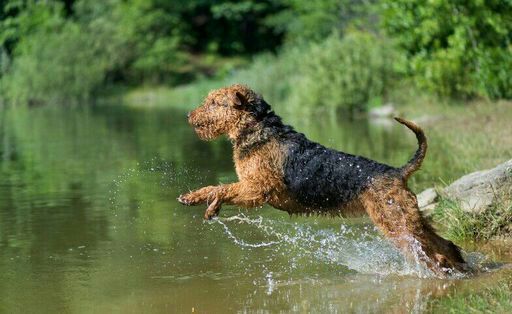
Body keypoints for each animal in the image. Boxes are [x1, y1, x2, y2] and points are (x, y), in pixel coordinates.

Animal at [178, 84, 466, 278]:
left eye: (214, 102)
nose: (189, 116)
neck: (259, 129)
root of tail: (397, 172)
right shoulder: (251, 189)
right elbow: (219, 190)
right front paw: (204, 205)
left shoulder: (258, 190)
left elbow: (220, 188)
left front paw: (197, 200)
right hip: (412, 221)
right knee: (447, 246)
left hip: (397, 226)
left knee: (434, 256)